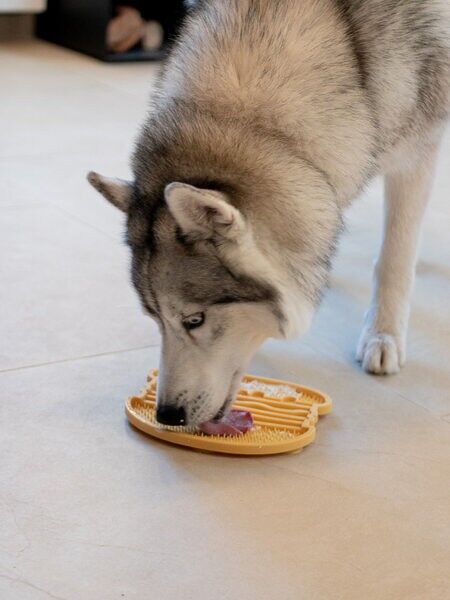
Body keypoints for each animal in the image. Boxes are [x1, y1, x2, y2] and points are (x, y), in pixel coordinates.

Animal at [88, 2, 450, 428]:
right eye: (154, 318)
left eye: (195, 320)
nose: (166, 415)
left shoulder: (417, 153)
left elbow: (394, 258)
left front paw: (383, 336)